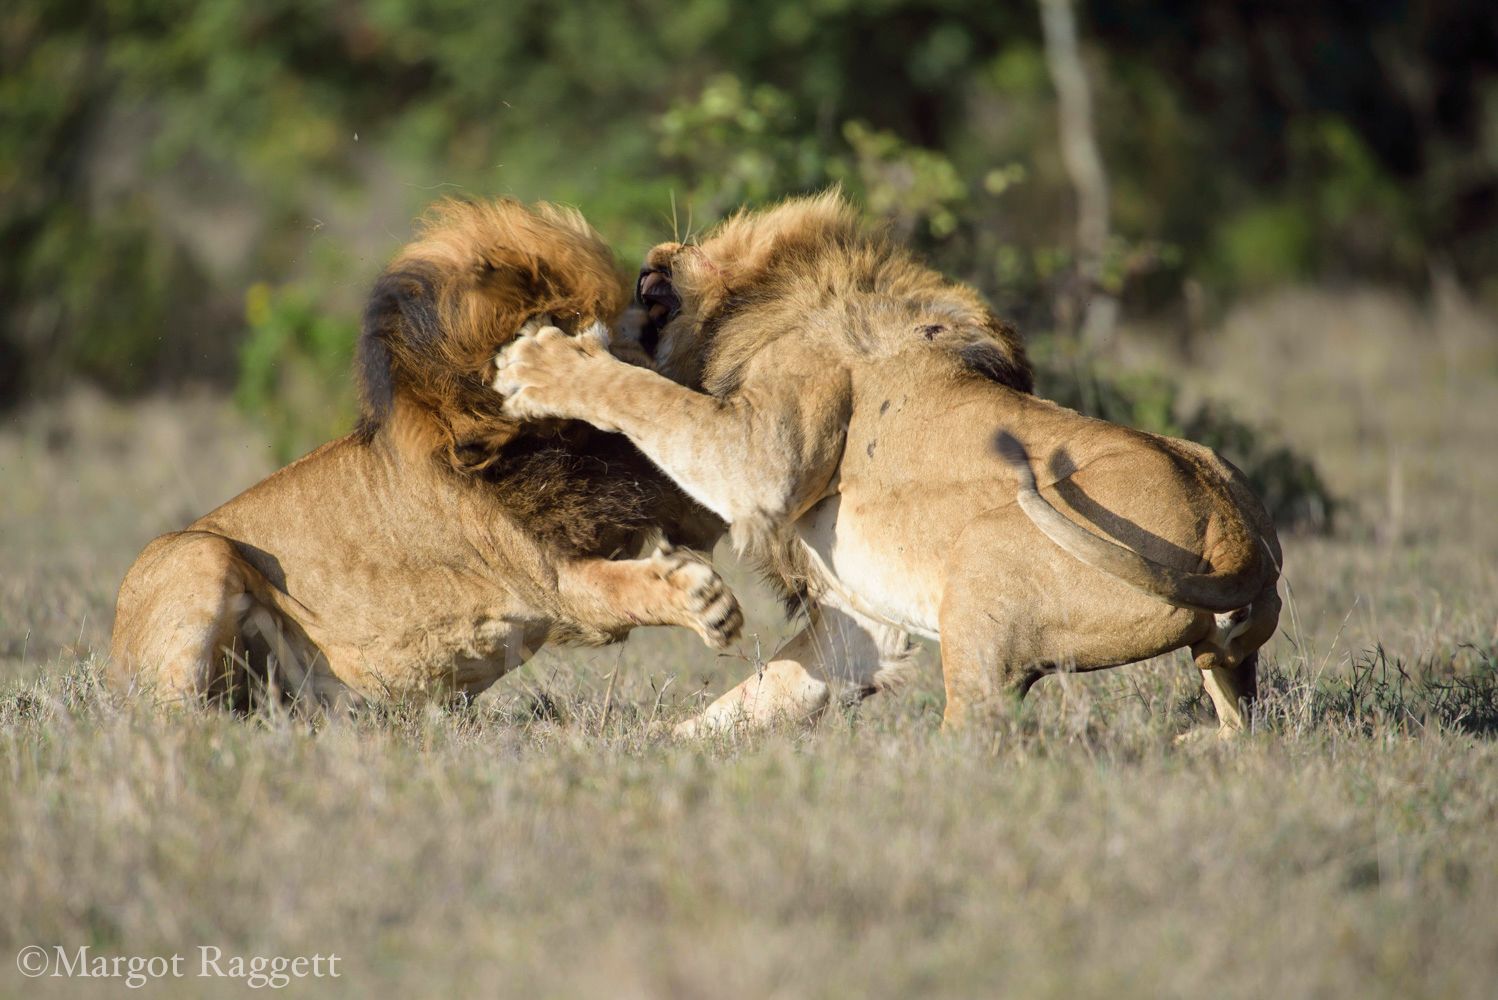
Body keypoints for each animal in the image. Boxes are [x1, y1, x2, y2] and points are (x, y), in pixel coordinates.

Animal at [494, 193, 1288, 733]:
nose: (652, 254)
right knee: (1244, 724)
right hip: (1224, 640)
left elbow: (646, 396)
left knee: (978, 735)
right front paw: (659, 751)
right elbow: (764, 692)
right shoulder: (859, 621)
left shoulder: (761, 456)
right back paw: (1205, 745)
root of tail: (1238, 540)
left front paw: (541, 363)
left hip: (986, 561)